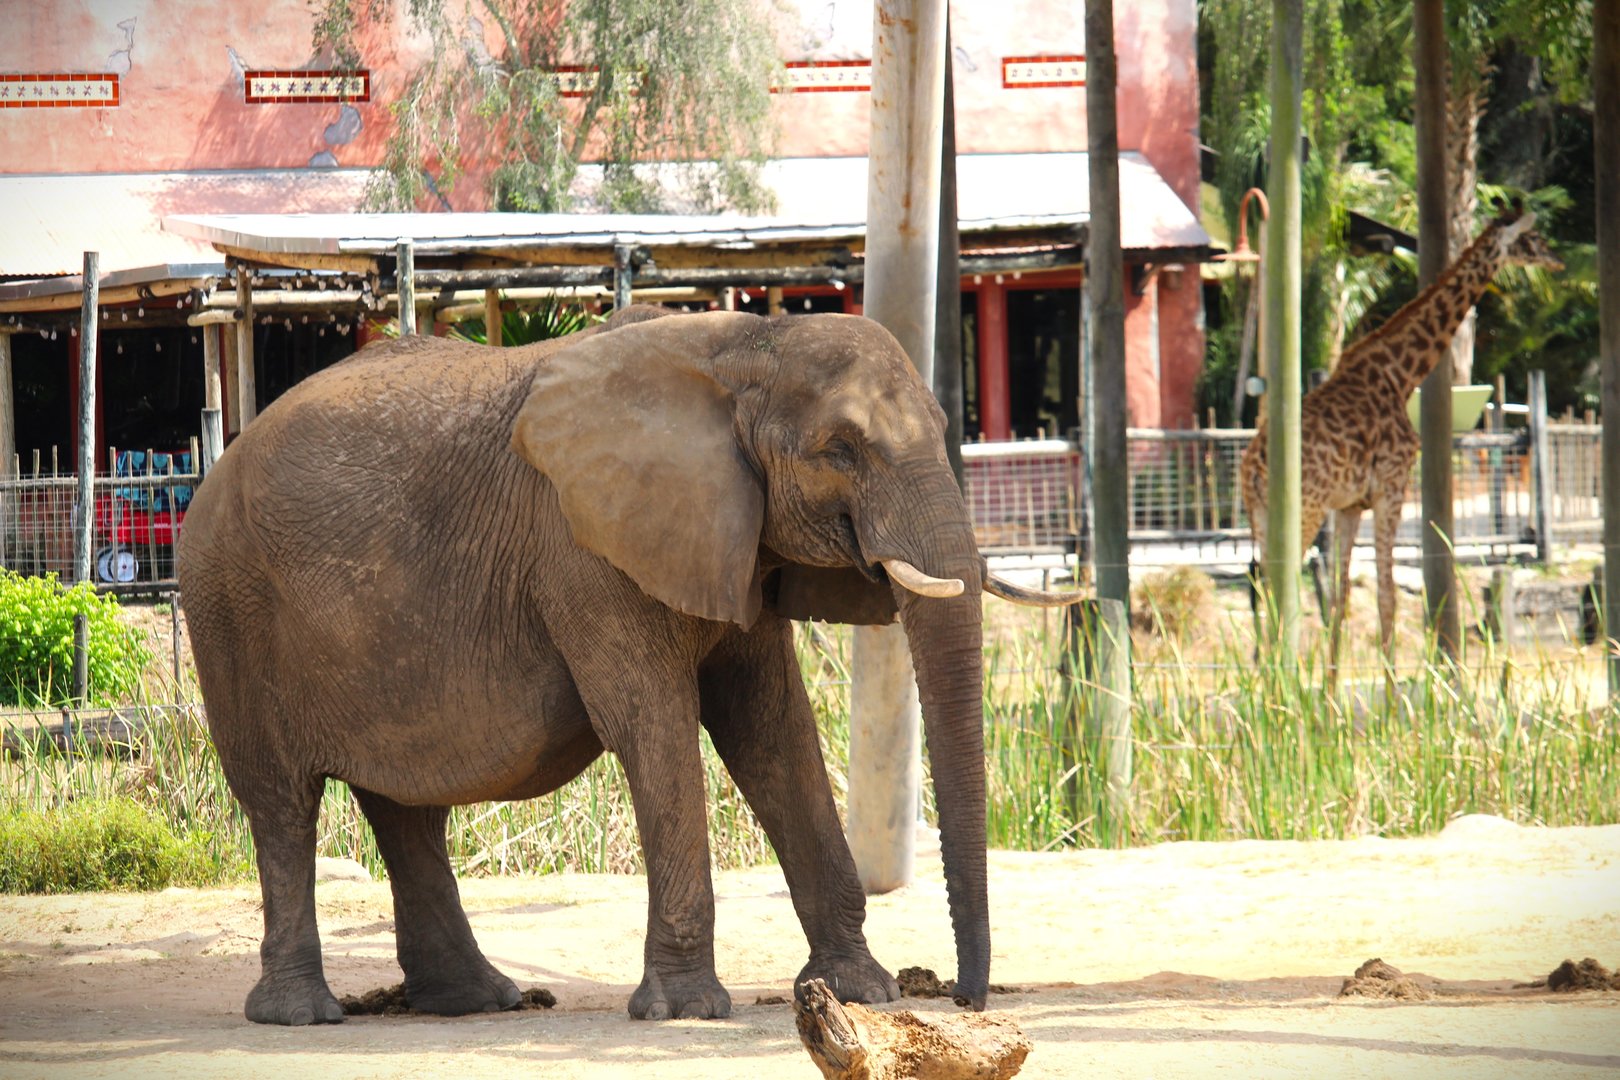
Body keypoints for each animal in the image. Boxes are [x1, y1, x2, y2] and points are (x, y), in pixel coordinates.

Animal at [178, 305, 1074, 1026]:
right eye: (841, 450)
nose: (962, 997)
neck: (743, 347)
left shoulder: (734, 540)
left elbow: (773, 730)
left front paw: (863, 992)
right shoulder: (583, 552)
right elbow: (656, 726)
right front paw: (688, 1011)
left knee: (405, 811)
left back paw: (479, 1001)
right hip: (229, 608)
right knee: (282, 806)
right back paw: (303, 1016)